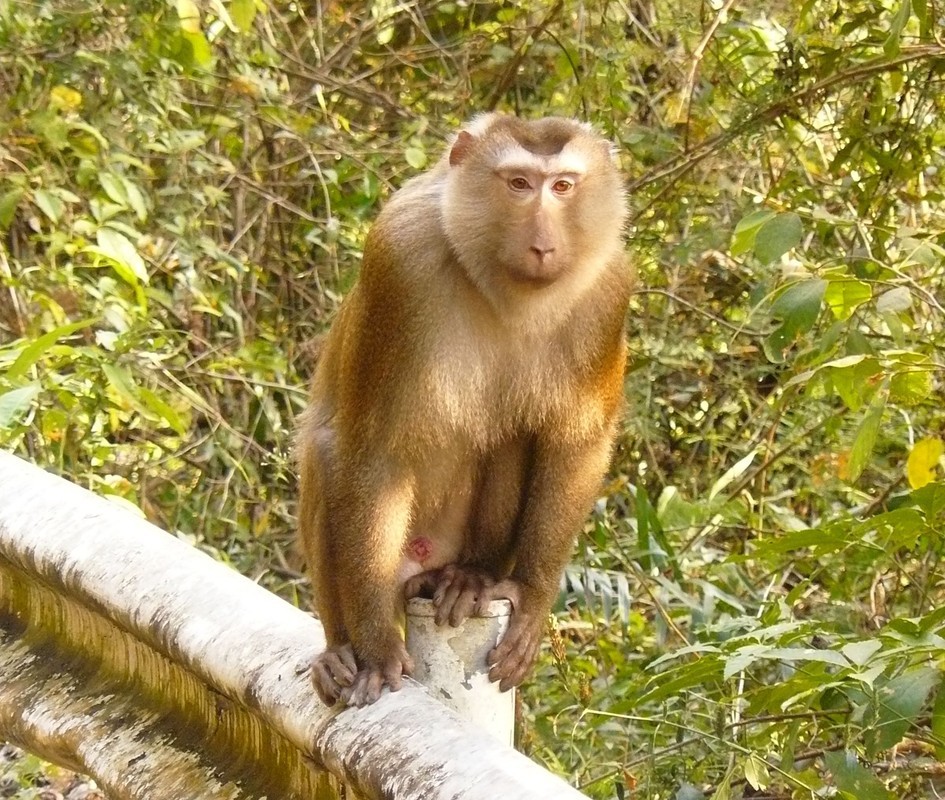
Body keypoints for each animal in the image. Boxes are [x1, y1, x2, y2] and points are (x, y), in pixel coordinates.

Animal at [296, 112, 636, 708]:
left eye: (563, 186)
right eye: (519, 184)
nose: (543, 243)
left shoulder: (609, 291)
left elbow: (576, 444)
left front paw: (532, 595)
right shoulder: (399, 262)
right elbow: (374, 451)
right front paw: (377, 647)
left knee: (512, 434)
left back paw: (470, 577)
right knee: (328, 448)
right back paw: (340, 649)